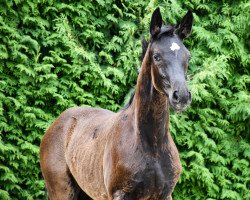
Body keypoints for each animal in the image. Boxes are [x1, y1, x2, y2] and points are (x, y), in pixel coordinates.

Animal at [40, 7, 193, 200]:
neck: (151, 144)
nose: (181, 96)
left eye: (188, 56)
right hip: (61, 191)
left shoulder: (165, 194)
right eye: (157, 56)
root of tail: (57, 122)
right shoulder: (121, 194)